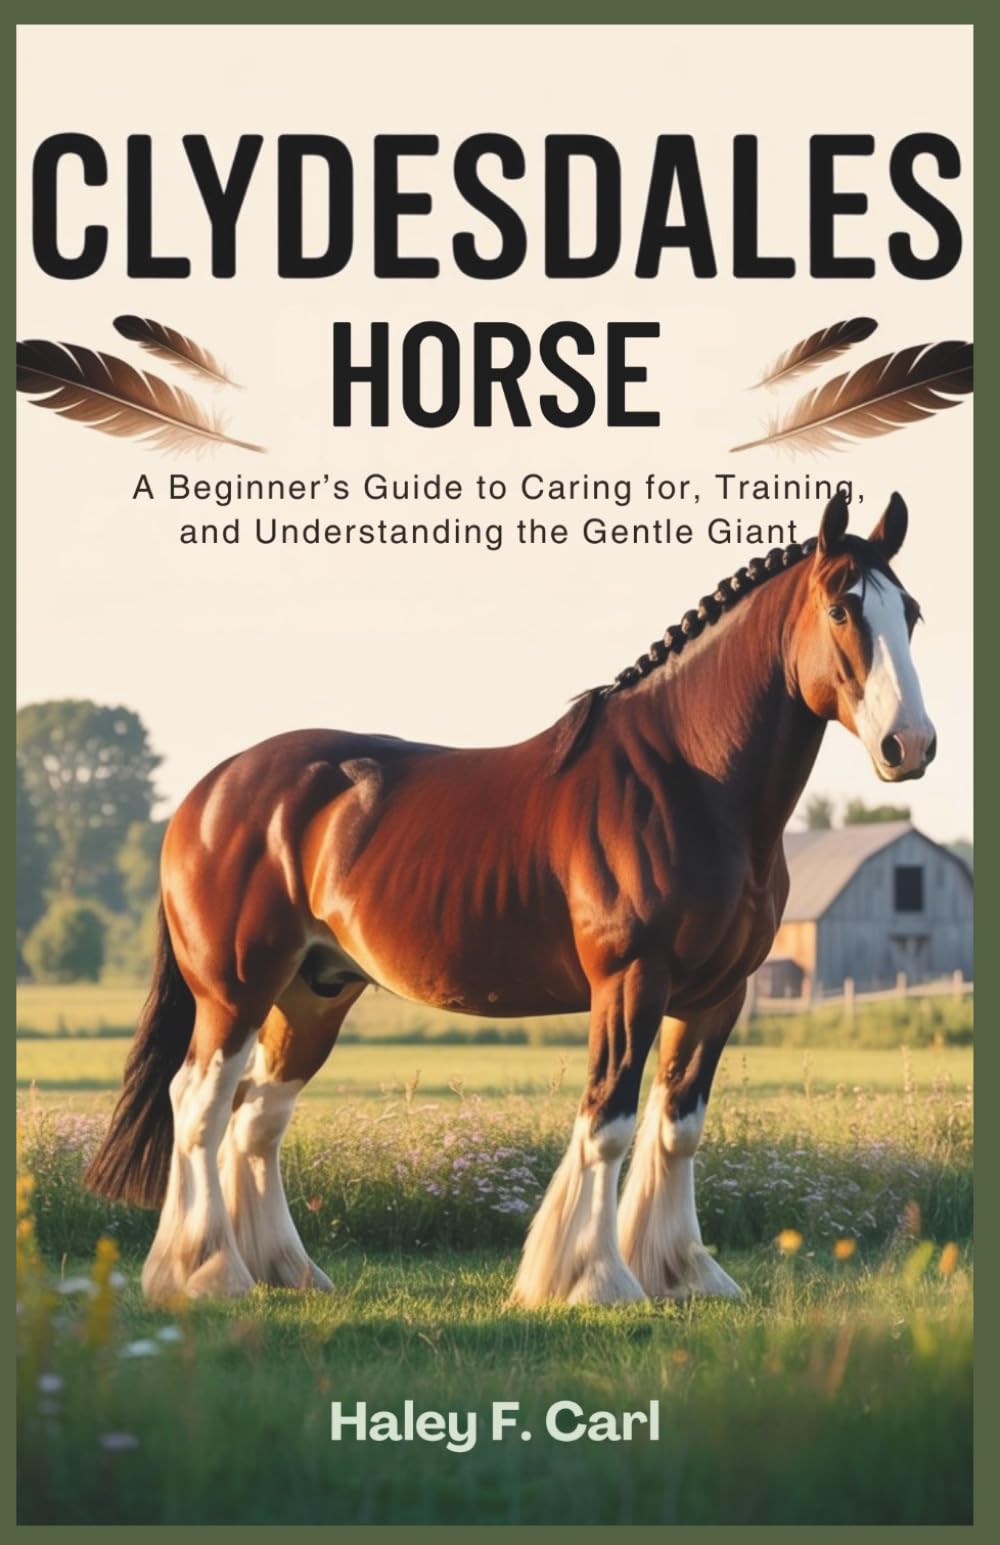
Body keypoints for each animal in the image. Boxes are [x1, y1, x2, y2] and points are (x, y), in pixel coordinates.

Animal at [85, 489, 936, 1306]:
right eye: (841, 609)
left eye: (912, 613)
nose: (911, 746)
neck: (686, 781)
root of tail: (206, 794)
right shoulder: (629, 981)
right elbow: (610, 1121)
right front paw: (593, 1278)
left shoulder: (716, 995)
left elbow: (677, 1127)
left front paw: (683, 1272)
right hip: (234, 990)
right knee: (198, 1102)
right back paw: (208, 1272)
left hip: (312, 994)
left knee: (257, 1115)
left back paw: (284, 1271)